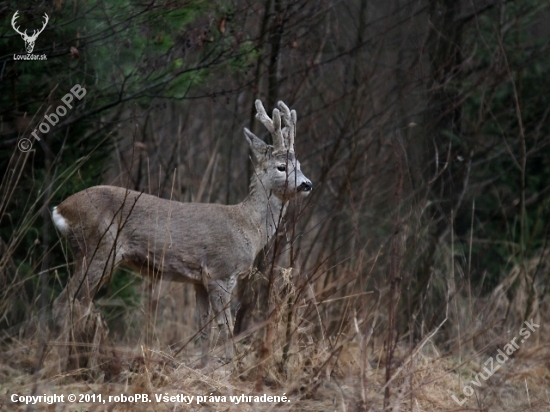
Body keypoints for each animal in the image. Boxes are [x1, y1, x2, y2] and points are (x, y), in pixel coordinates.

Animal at [52, 99, 312, 366]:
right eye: (281, 167)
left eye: (300, 166)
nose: (307, 184)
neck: (249, 227)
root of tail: (60, 209)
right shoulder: (221, 271)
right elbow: (226, 325)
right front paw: (231, 364)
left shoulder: (199, 280)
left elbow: (205, 327)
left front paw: (204, 365)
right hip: (98, 248)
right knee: (65, 303)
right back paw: (60, 362)